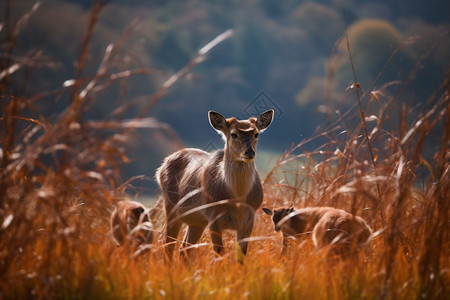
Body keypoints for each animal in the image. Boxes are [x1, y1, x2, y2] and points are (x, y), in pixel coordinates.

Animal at [155, 108, 274, 260]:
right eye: (233, 134)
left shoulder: (249, 219)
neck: (237, 200)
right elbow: (219, 253)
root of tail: (161, 167)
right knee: (168, 248)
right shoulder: (213, 217)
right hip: (171, 208)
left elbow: (241, 256)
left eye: (256, 133)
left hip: (197, 221)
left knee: (184, 249)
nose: (249, 152)